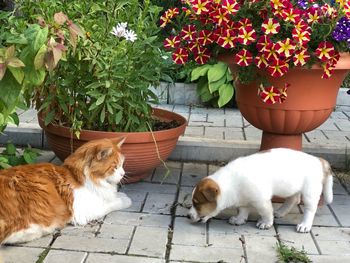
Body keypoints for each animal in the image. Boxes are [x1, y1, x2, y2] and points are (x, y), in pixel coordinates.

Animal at [0, 138, 131, 245]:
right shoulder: (83, 212)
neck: (77, 176)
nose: (123, 173)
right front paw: (125, 199)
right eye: (115, 167)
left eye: (122, 165)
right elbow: (112, 203)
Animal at [189, 148, 334, 233]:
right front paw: (239, 219)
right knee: (293, 199)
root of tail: (319, 160)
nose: (188, 215)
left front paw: (266, 223)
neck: (230, 184)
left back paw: (305, 225)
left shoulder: (261, 201)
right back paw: (280, 212)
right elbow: (243, 210)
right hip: (291, 188)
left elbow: (266, 212)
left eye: (196, 203)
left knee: (310, 209)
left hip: (310, 192)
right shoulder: (243, 199)